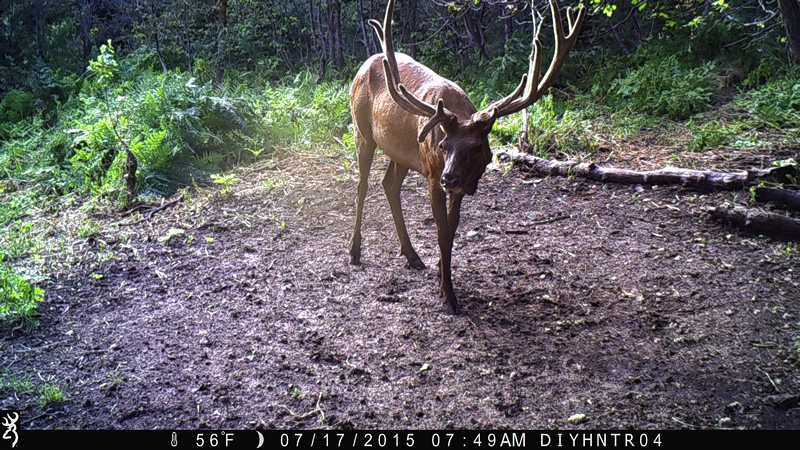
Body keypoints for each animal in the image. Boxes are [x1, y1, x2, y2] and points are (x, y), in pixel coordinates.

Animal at [346, 0, 584, 314]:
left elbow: (452, 229)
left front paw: (440, 274)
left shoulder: (456, 185)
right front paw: (448, 295)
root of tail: (361, 68)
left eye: (476, 146)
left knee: (389, 185)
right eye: (443, 145)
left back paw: (411, 255)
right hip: (362, 131)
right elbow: (442, 232)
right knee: (361, 186)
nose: (450, 177)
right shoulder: (432, 174)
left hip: (400, 153)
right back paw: (354, 250)